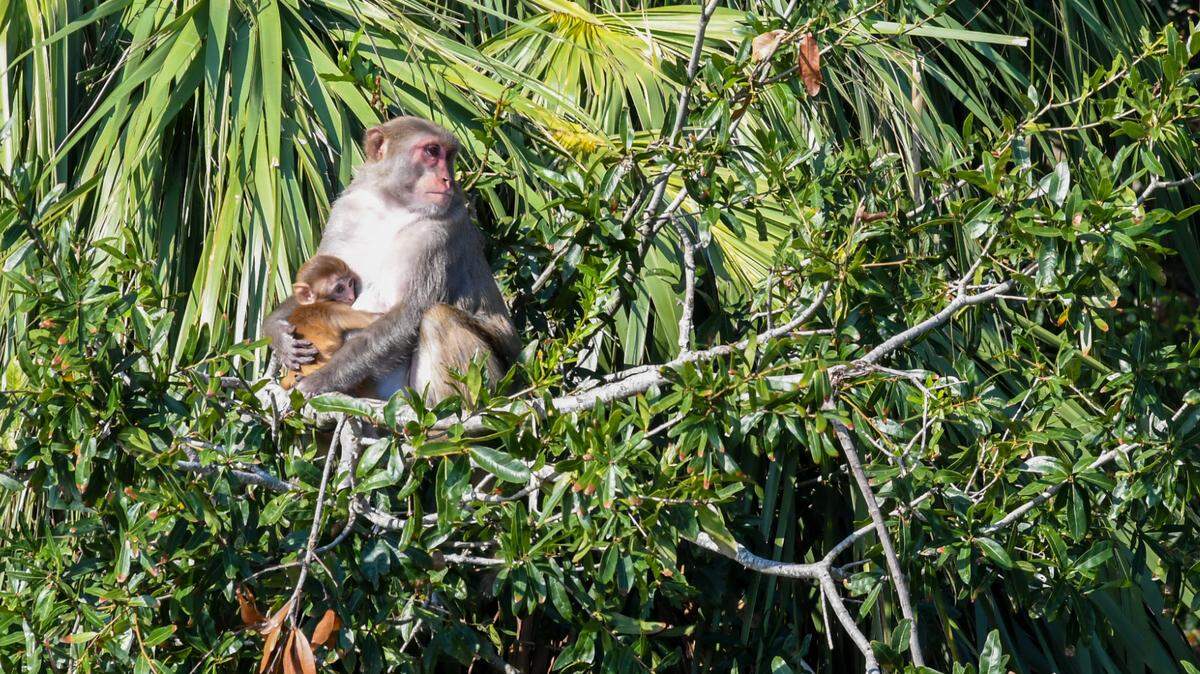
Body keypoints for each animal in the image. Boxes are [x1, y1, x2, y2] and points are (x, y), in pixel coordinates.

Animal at [279, 255, 379, 390]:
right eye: (339, 289)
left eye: (350, 284)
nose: (351, 297)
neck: (315, 303)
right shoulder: (333, 309)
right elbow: (374, 319)